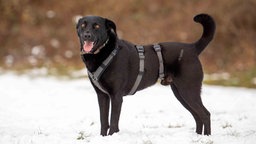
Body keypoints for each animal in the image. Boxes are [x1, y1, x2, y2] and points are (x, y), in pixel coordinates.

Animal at [76, 13, 216, 136]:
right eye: (83, 25)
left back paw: (206, 136)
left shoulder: (116, 96)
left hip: (189, 90)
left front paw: (111, 137)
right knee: (197, 115)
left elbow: (113, 122)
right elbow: (104, 121)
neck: (105, 53)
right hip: (180, 93)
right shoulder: (102, 96)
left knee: (205, 114)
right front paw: (103, 137)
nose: (87, 35)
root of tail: (193, 48)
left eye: (97, 26)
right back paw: (197, 136)